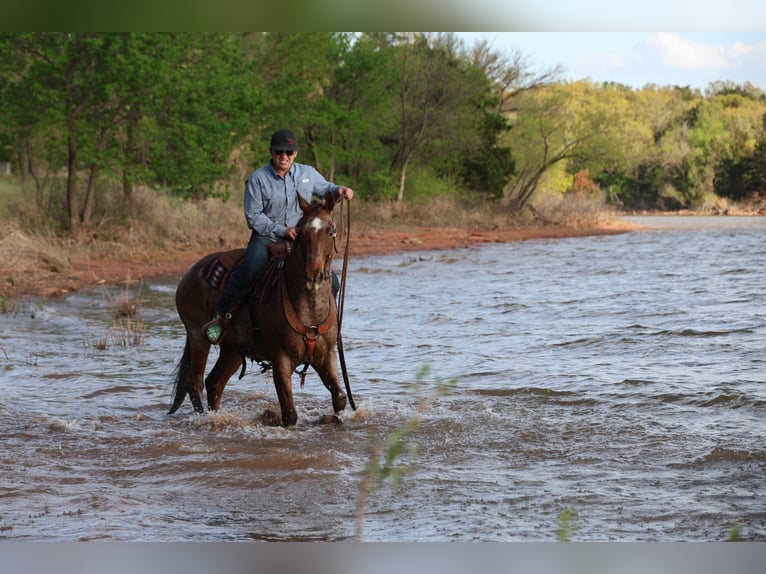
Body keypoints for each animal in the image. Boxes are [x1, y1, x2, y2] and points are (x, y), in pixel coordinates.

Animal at [167, 192, 347, 426]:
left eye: (330, 231)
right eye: (301, 233)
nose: (313, 275)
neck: (309, 310)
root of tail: (190, 272)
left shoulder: (326, 355)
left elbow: (340, 398)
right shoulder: (281, 360)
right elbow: (289, 413)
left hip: (232, 350)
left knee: (214, 383)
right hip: (198, 337)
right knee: (195, 384)